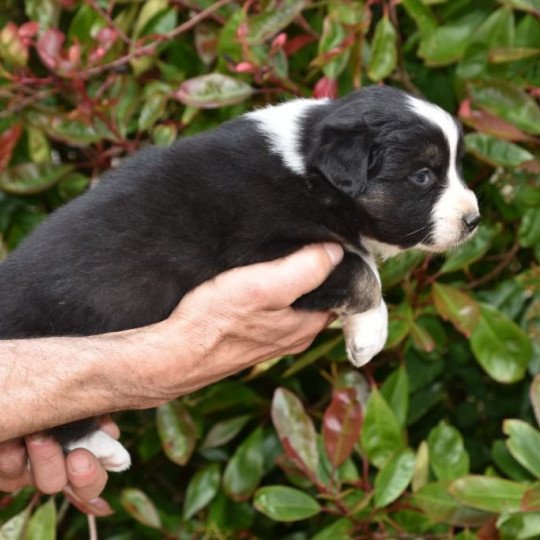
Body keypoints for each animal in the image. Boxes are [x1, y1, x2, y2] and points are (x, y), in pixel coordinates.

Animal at [0, 86, 480, 470]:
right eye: (423, 176)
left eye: (457, 167)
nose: (474, 220)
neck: (308, 169)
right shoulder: (268, 249)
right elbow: (362, 270)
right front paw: (369, 337)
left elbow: (362, 262)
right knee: (61, 423)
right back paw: (106, 450)